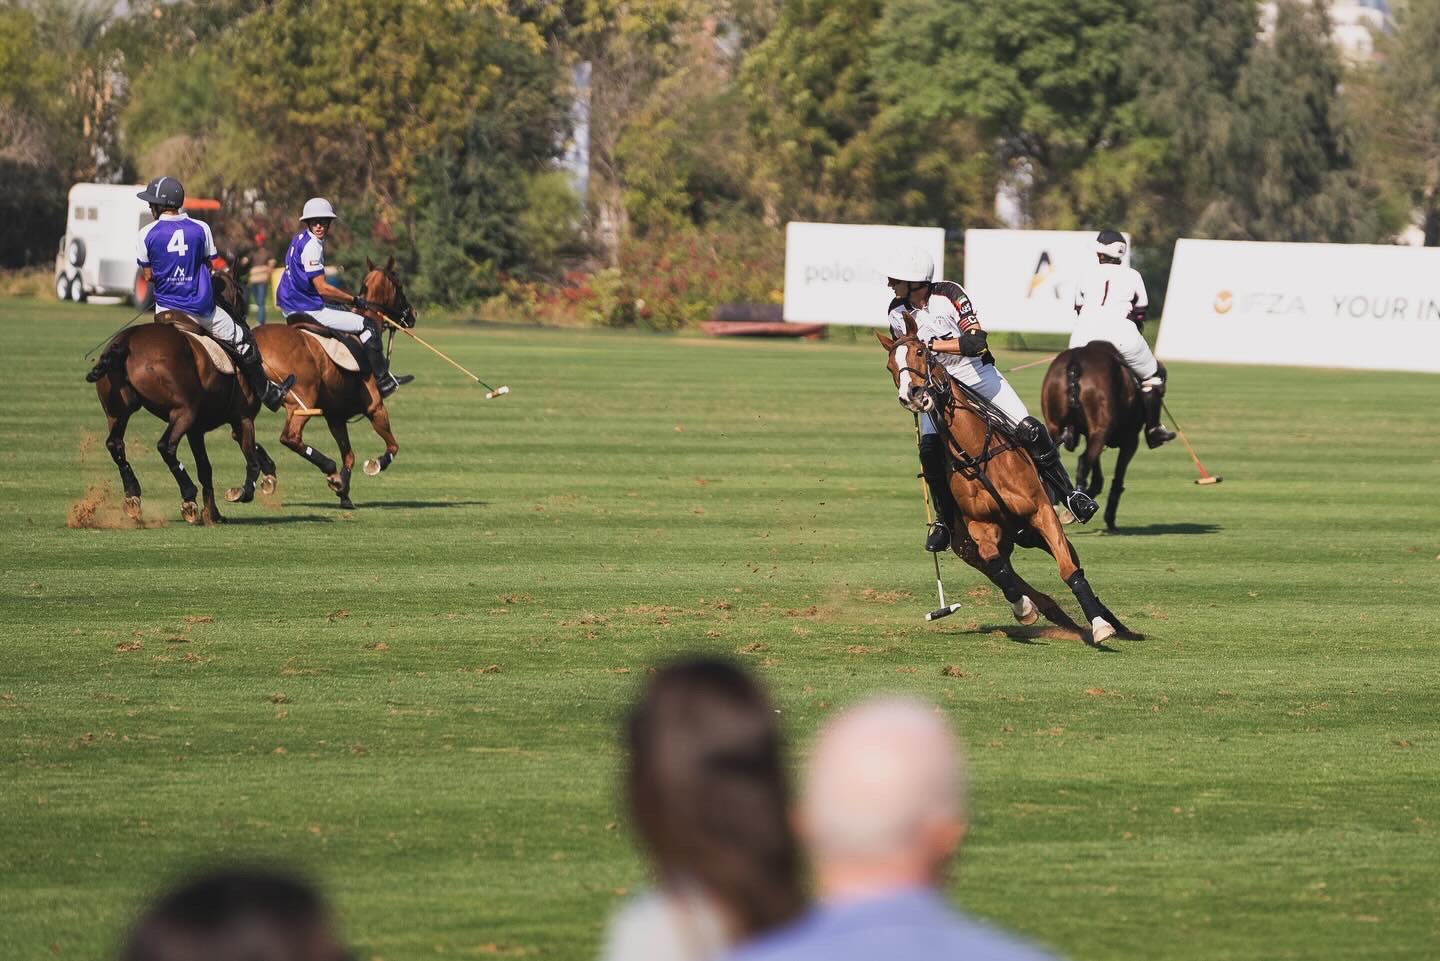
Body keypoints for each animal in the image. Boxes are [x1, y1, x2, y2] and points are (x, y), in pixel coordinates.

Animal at [86, 270, 278, 524]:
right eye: (240, 291)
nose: (244, 315)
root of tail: (125, 342)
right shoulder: (243, 417)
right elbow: (251, 460)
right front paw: (244, 491)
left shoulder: (197, 430)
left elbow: (207, 469)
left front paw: (214, 514)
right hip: (183, 411)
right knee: (165, 446)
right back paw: (188, 497)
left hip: (118, 411)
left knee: (115, 444)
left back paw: (133, 496)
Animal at [249, 258, 415, 510]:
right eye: (400, 286)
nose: (412, 314)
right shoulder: (375, 407)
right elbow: (393, 447)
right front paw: (374, 464)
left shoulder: (335, 417)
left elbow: (349, 455)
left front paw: (344, 494)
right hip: (303, 399)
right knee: (290, 437)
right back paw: (327, 468)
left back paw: (268, 470)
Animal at [879, 327, 1132, 645]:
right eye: (890, 367)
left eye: (921, 352)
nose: (911, 396)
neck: (977, 454)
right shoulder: (981, 529)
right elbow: (998, 567)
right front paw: (1023, 609)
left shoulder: (1042, 513)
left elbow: (1069, 569)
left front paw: (1100, 625)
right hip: (975, 549)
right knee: (1019, 581)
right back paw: (1046, 613)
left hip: (1038, 531)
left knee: (1071, 561)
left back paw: (1111, 621)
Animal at [1041, 342, 1143, 532]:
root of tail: (1075, 364)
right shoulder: (1130, 439)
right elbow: (1115, 477)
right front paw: (1109, 520)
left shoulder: (1091, 434)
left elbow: (1097, 474)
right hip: (1101, 429)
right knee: (1083, 461)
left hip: (1054, 425)